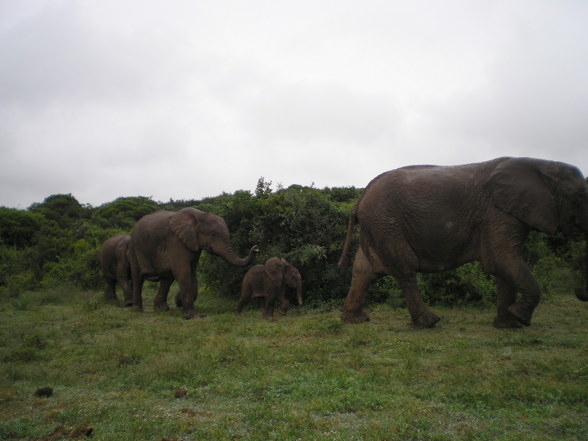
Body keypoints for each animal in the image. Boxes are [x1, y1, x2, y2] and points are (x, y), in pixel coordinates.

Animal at [130, 208, 258, 318]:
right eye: (213, 234)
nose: (256, 248)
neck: (199, 215)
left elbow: (192, 271)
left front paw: (179, 302)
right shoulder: (175, 240)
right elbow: (183, 270)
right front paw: (189, 315)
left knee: (167, 278)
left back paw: (162, 309)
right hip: (134, 247)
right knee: (138, 278)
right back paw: (137, 310)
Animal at [338, 157, 584, 326]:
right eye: (580, 195)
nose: (580, 294)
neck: (542, 164)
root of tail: (361, 197)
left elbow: (503, 265)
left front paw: (508, 325)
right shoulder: (497, 214)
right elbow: (503, 260)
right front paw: (520, 318)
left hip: (378, 225)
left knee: (364, 270)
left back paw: (356, 320)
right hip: (387, 223)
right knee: (404, 269)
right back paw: (430, 322)